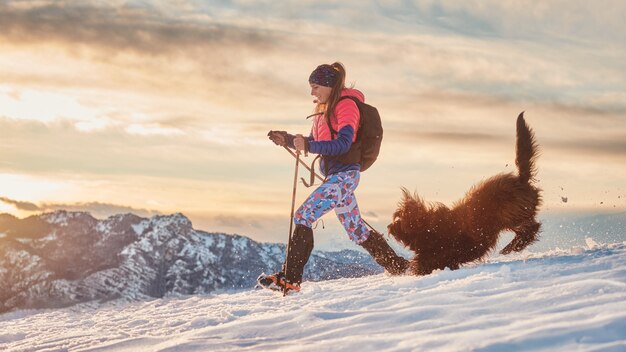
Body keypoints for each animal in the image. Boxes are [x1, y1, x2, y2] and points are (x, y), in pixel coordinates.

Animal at [388, 113, 540, 276]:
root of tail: (520, 179)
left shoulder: (435, 255)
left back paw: (513, 246)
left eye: (400, 219)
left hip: (509, 212)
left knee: (531, 228)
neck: (427, 226)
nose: (390, 226)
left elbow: (424, 264)